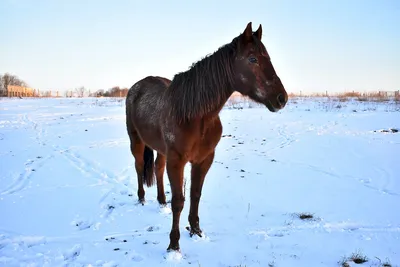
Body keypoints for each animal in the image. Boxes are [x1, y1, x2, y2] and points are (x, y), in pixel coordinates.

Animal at [125, 21, 288, 253]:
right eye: (252, 59)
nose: (281, 98)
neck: (194, 115)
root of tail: (136, 88)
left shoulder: (203, 159)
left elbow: (195, 194)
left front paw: (196, 231)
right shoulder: (177, 161)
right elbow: (179, 201)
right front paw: (174, 245)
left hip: (160, 149)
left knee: (157, 168)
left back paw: (161, 201)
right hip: (136, 141)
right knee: (140, 167)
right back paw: (141, 199)